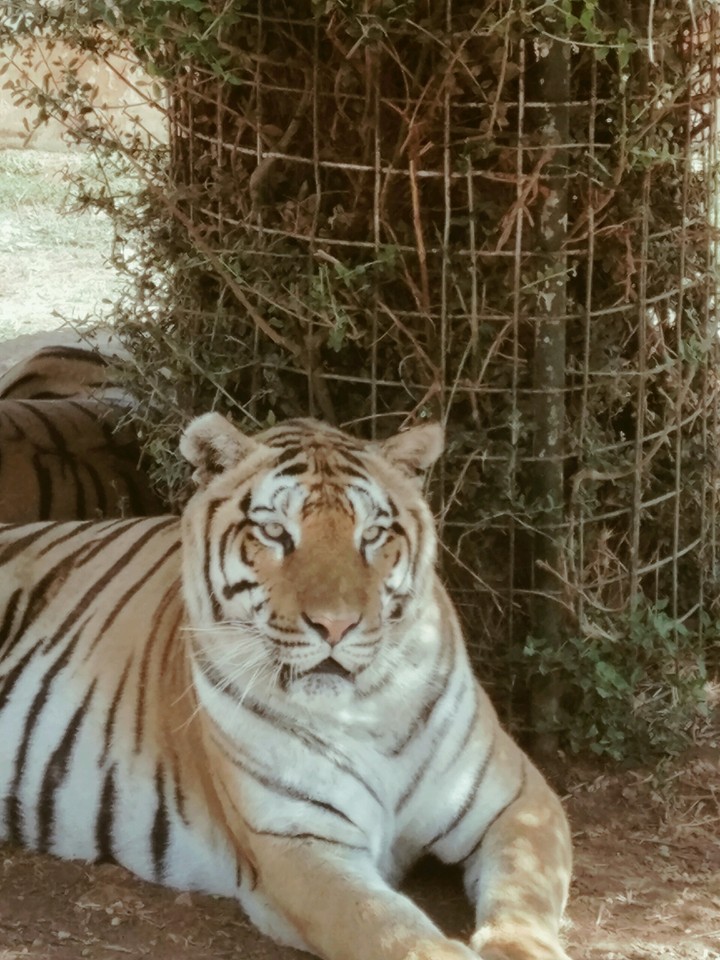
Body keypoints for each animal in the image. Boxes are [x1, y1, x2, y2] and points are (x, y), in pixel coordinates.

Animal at [0, 414, 572, 960]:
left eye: (372, 535)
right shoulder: (297, 841)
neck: (369, 711)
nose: (335, 626)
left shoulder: (521, 803)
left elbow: (523, 902)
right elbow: (390, 929)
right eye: (276, 532)